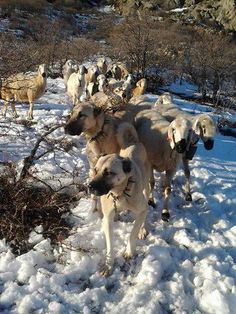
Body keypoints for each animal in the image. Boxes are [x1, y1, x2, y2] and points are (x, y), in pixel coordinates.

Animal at [87, 121, 150, 276]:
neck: (120, 193)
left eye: (108, 173)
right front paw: (109, 265)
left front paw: (129, 251)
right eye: (96, 170)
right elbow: (110, 245)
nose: (89, 186)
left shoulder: (141, 209)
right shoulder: (107, 219)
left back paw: (142, 229)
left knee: (146, 208)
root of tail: (133, 142)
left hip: (147, 188)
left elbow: (132, 233)